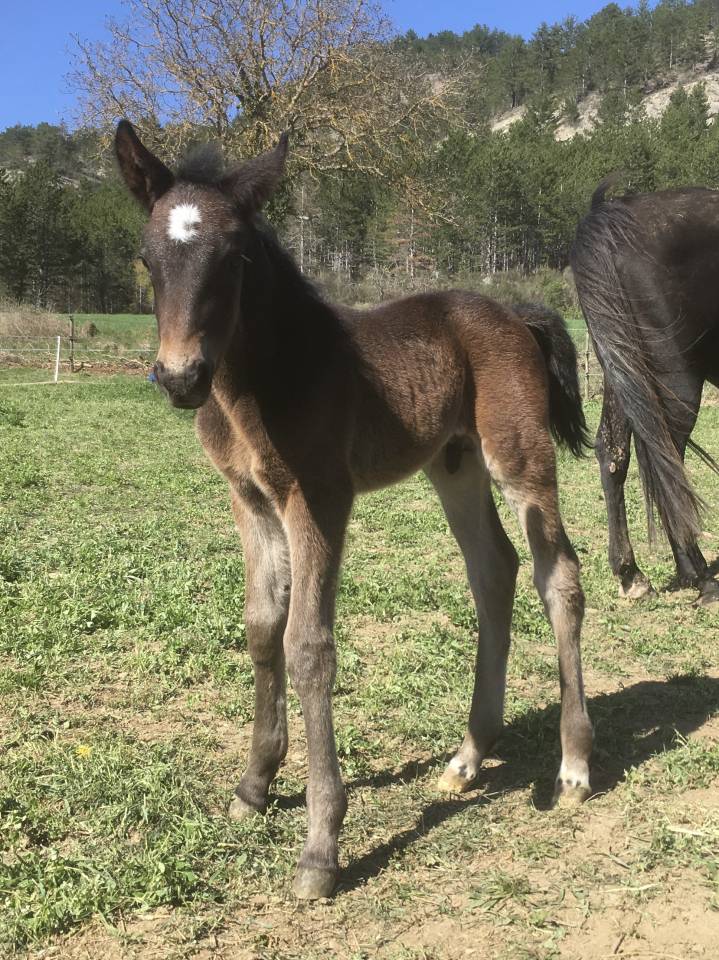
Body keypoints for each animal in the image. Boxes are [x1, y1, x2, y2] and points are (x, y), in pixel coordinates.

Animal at [115, 119, 594, 900]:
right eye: (148, 256)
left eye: (233, 257)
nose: (182, 378)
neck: (264, 376)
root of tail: (513, 313)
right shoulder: (250, 499)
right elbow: (261, 627)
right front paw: (253, 786)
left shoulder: (319, 498)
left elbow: (308, 646)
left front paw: (320, 847)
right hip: (453, 462)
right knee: (494, 570)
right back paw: (468, 754)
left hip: (517, 456)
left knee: (560, 576)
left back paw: (574, 765)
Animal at [571, 178, 719, 606]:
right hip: (674, 375)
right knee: (667, 459)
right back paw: (702, 577)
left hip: (622, 368)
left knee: (613, 450)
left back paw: (632, 574)